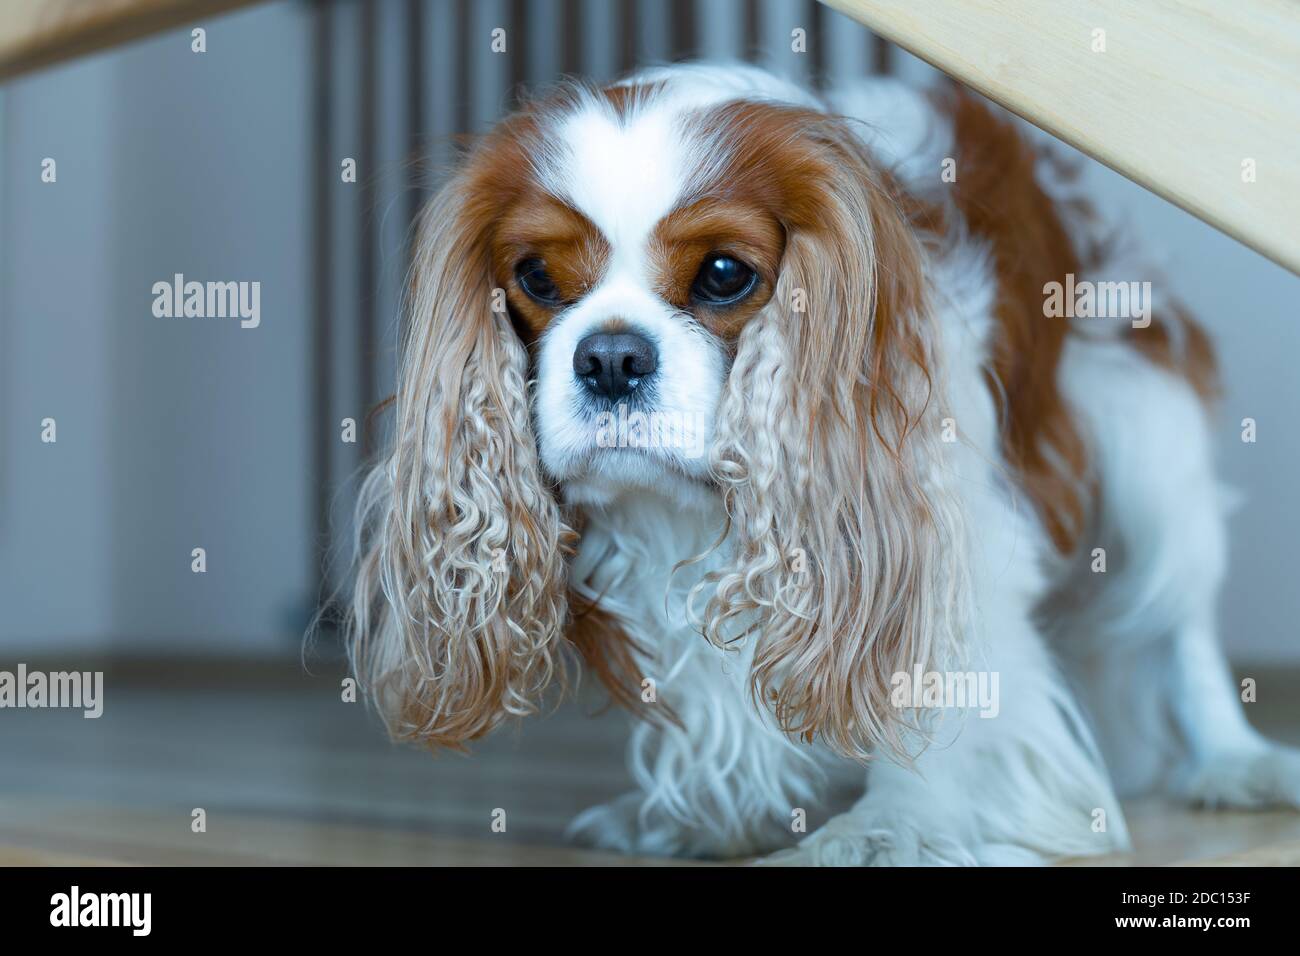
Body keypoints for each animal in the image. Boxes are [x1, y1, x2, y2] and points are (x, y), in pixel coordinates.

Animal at [340, 63, 1294, 863]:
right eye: (535, 276)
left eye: (726, 273)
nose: (610, 357)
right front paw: (707, 816)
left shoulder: (944, 524)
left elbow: (941, 676)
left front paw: (900, 824)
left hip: (1145, 440)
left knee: (1181, 620)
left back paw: (1233, 761)